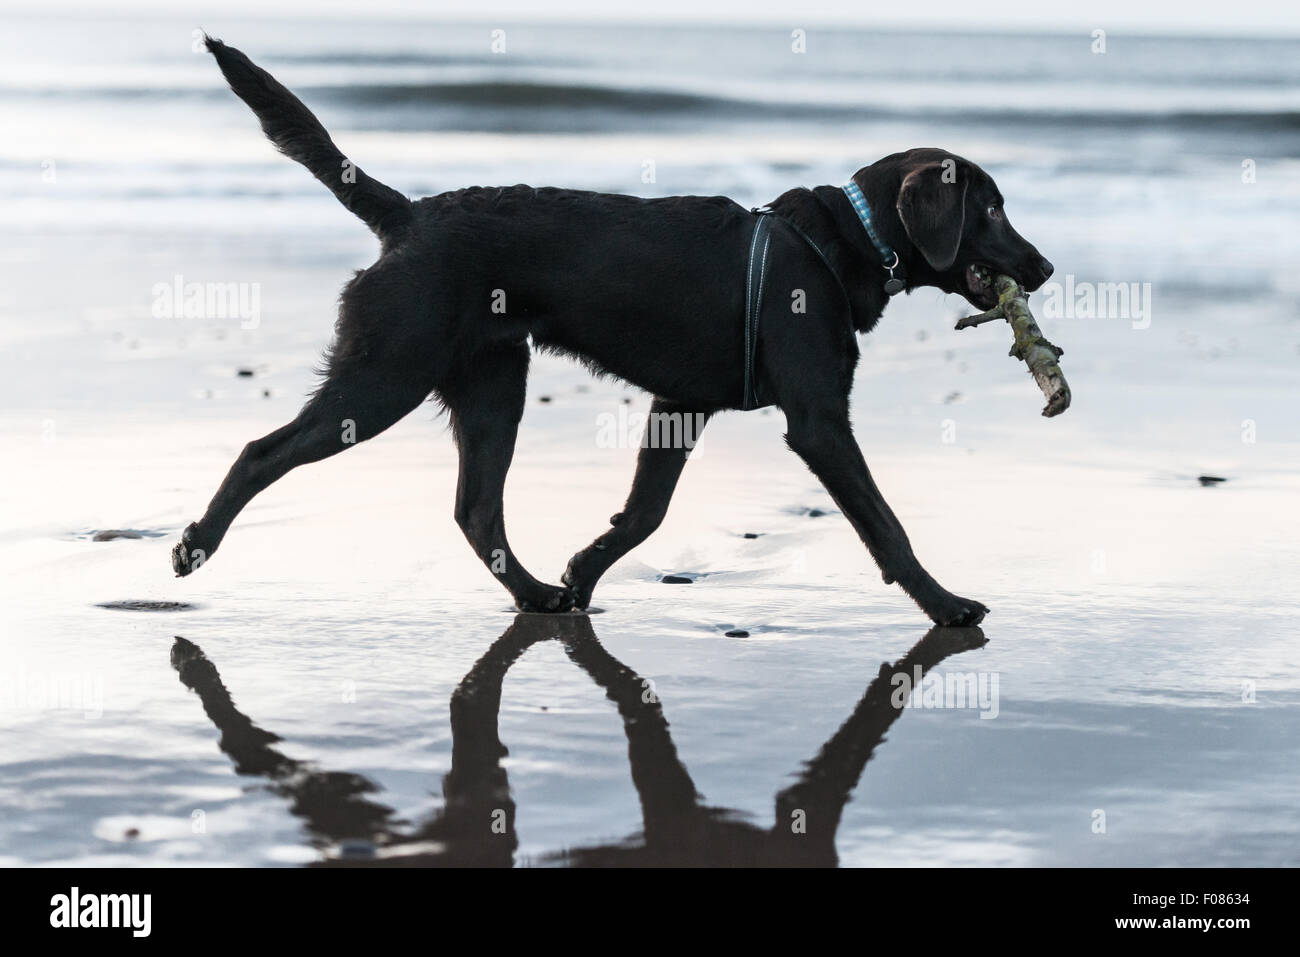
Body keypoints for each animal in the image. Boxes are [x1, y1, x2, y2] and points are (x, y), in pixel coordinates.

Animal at [178, 37, 1055, 624]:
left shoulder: (679, 405)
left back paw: (539, 593)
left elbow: (643, 513)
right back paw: (194, 543)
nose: (1044, 268)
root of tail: (408, 216)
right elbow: (886, 523)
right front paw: (946, 603)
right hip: (387, 372)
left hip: (492, 385)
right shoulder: (817, 421)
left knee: (476, 510)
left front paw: (582, 572)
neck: (840, 243)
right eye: (991, 210)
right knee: (263, 451)